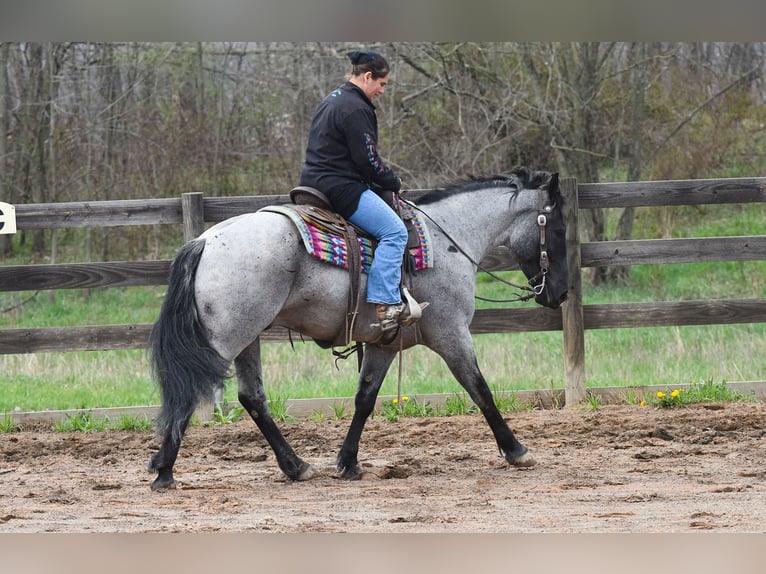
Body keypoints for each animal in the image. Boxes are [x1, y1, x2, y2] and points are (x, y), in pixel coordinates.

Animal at [147, 166, 568, 491]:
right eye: (558, 228)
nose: (560, 293)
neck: (448, 239)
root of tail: (203, 240)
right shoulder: (451, 333)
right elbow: (479, 389)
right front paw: (516, 450)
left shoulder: (384, 342)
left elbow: (365, 398)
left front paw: (348, 462)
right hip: (227, 337)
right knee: (193, 392)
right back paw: (165, 471)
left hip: (248, 336)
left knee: (252, 398)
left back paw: (295, 466)